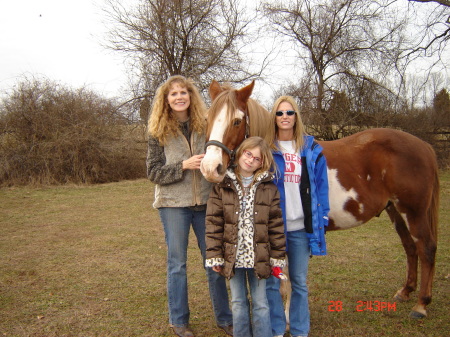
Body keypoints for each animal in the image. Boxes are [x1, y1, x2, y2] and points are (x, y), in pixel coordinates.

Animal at [200, 79, 440, 318]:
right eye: (207, 119)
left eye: (236, 121)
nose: (211, 168)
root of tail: (424, 146)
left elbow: (286, 281)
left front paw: (287, 317)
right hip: (395, 211)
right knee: (410, 247)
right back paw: (405, 291)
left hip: (414, 212)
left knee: (426, 248)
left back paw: (421, 304)